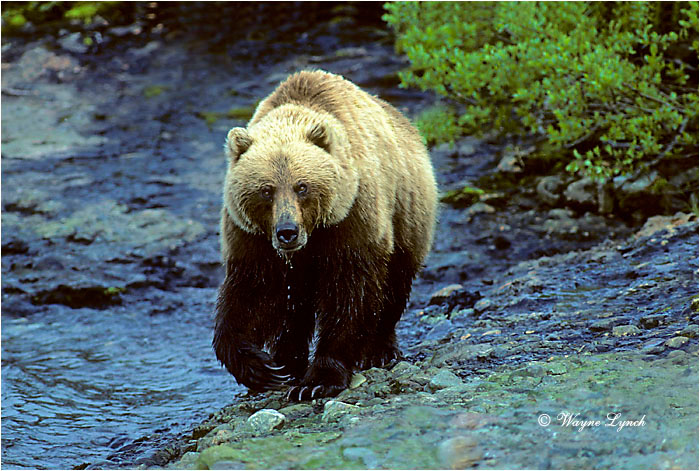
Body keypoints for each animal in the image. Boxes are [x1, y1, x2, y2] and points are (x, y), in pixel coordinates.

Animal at [213, 70, 437, 401]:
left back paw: (380, 349)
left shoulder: (352, 218)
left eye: (301, 186)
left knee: (395, 280)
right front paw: (261, 368)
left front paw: (319, 379)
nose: (287, 232)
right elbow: (251, 294)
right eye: (266, 190)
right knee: (295, 308)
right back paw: (287, 360)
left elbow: (351, 294)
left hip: (407, 208)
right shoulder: (251, 238)